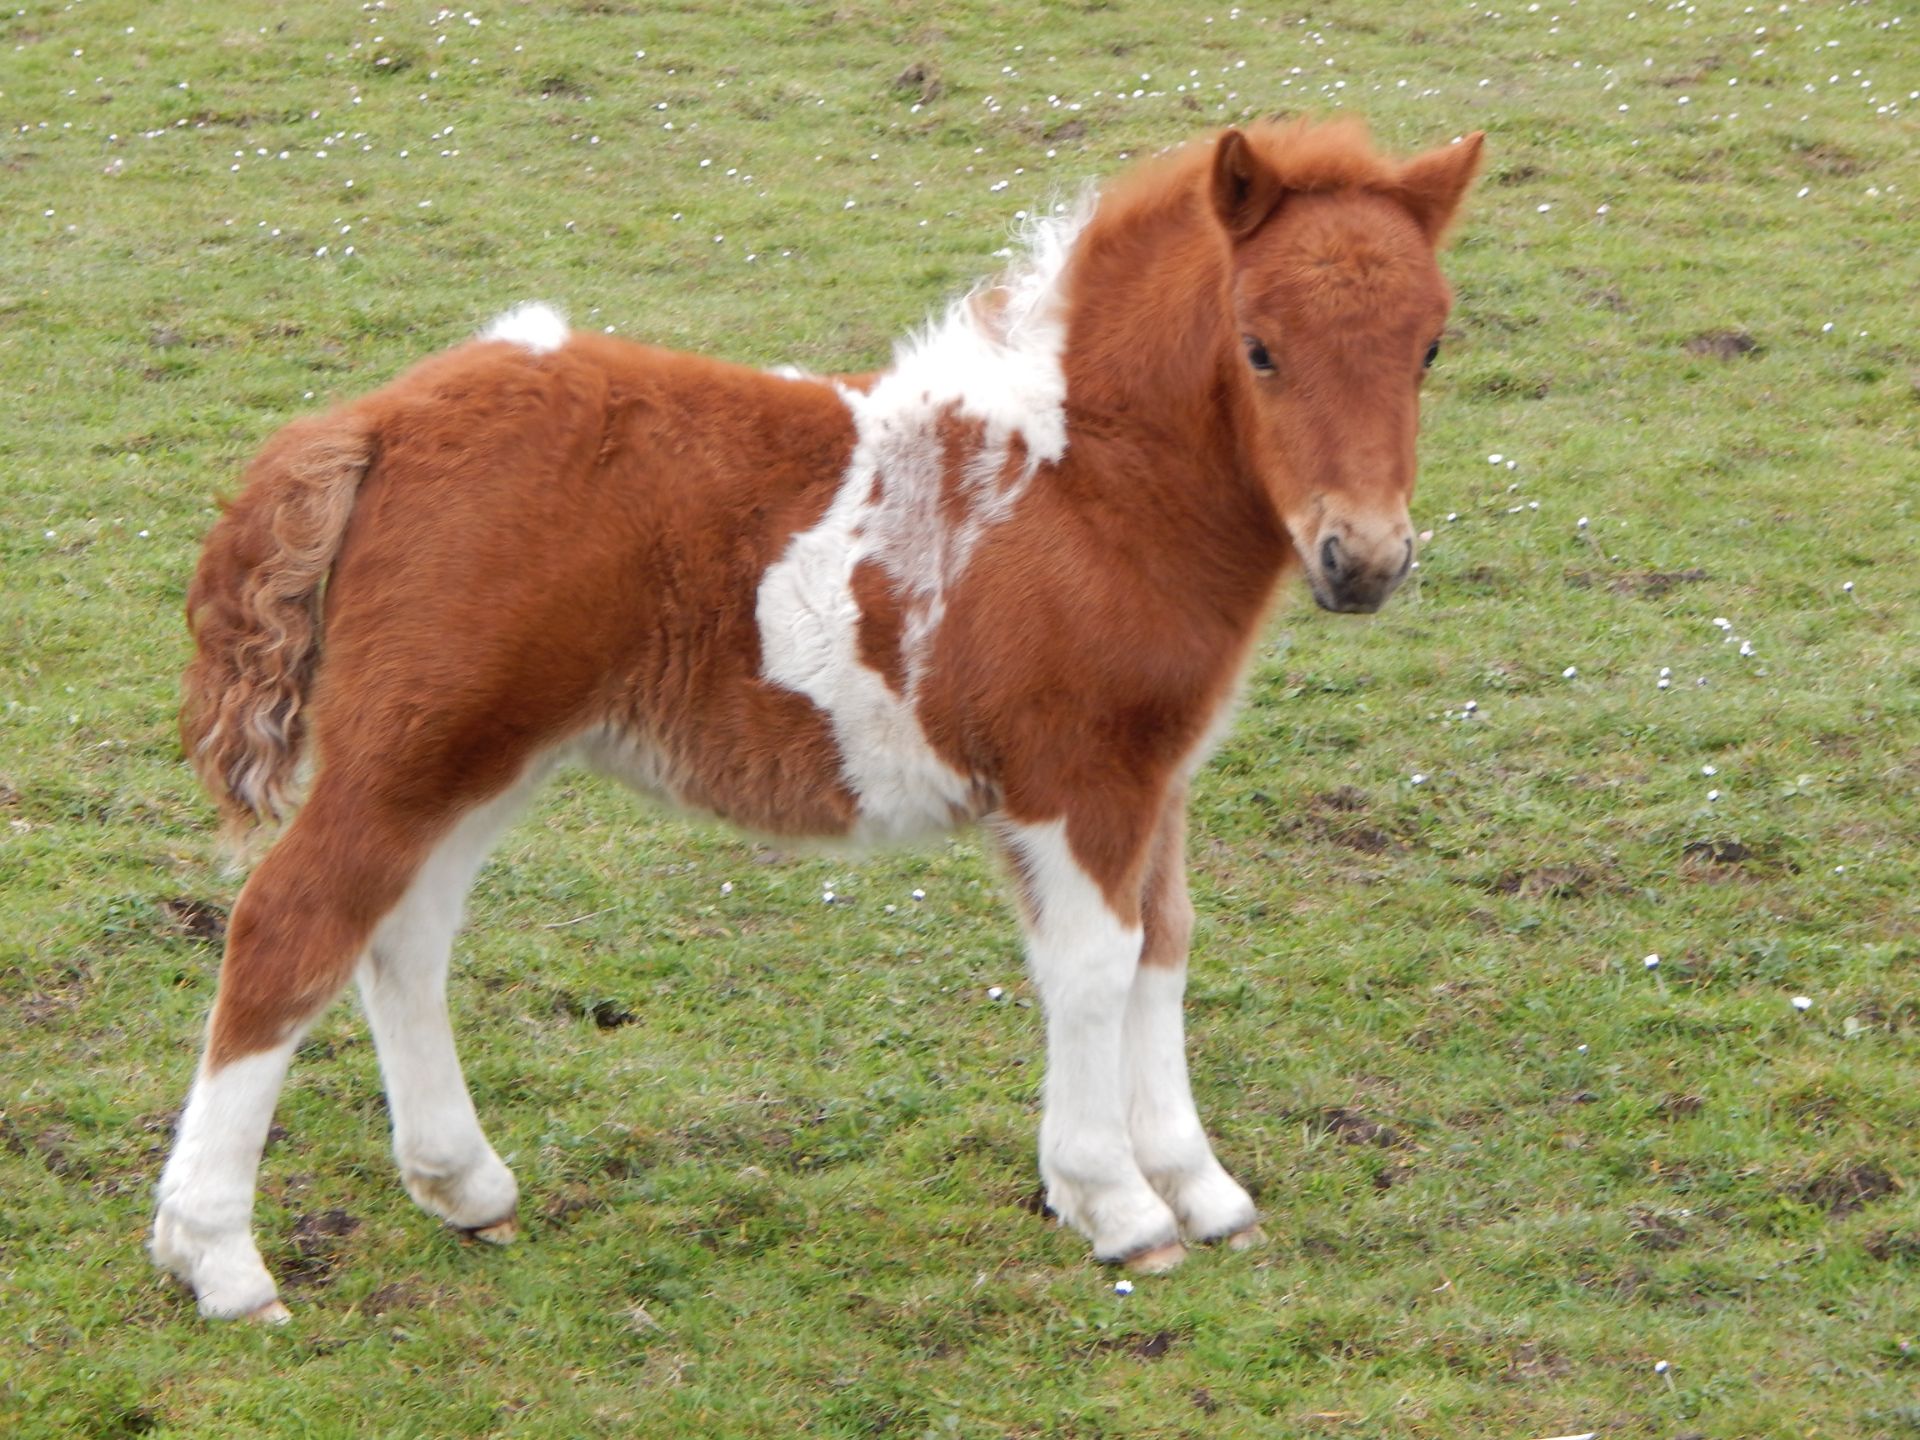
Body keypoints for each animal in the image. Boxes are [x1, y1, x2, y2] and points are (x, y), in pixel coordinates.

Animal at [149, 121, 1482, 1320]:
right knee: (288, 928)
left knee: (402, 936)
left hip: (483, 756)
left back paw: (465, 1188)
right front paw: (1116, 1206)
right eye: (1260, 348)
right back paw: (219, 1261)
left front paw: (1203, 1192)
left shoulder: (1156, 778)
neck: (1087, 487)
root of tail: (376, 423)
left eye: (1429, 347)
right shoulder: (1074, 780)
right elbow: (1095, 967)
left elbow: (1164, 948)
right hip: (414, 751)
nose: (1364, 560)